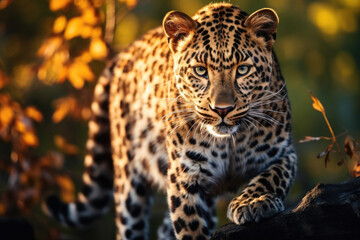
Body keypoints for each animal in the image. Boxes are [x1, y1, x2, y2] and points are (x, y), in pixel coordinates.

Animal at [44, 2, 298, 240]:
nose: (222, 110)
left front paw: (253, 202)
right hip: (128, 181)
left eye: (243, 69)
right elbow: (189, 223)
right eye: (200, 71)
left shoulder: (284, 152)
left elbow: (273, 175)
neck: (229, 141)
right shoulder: (184, 174)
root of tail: (122, 55)